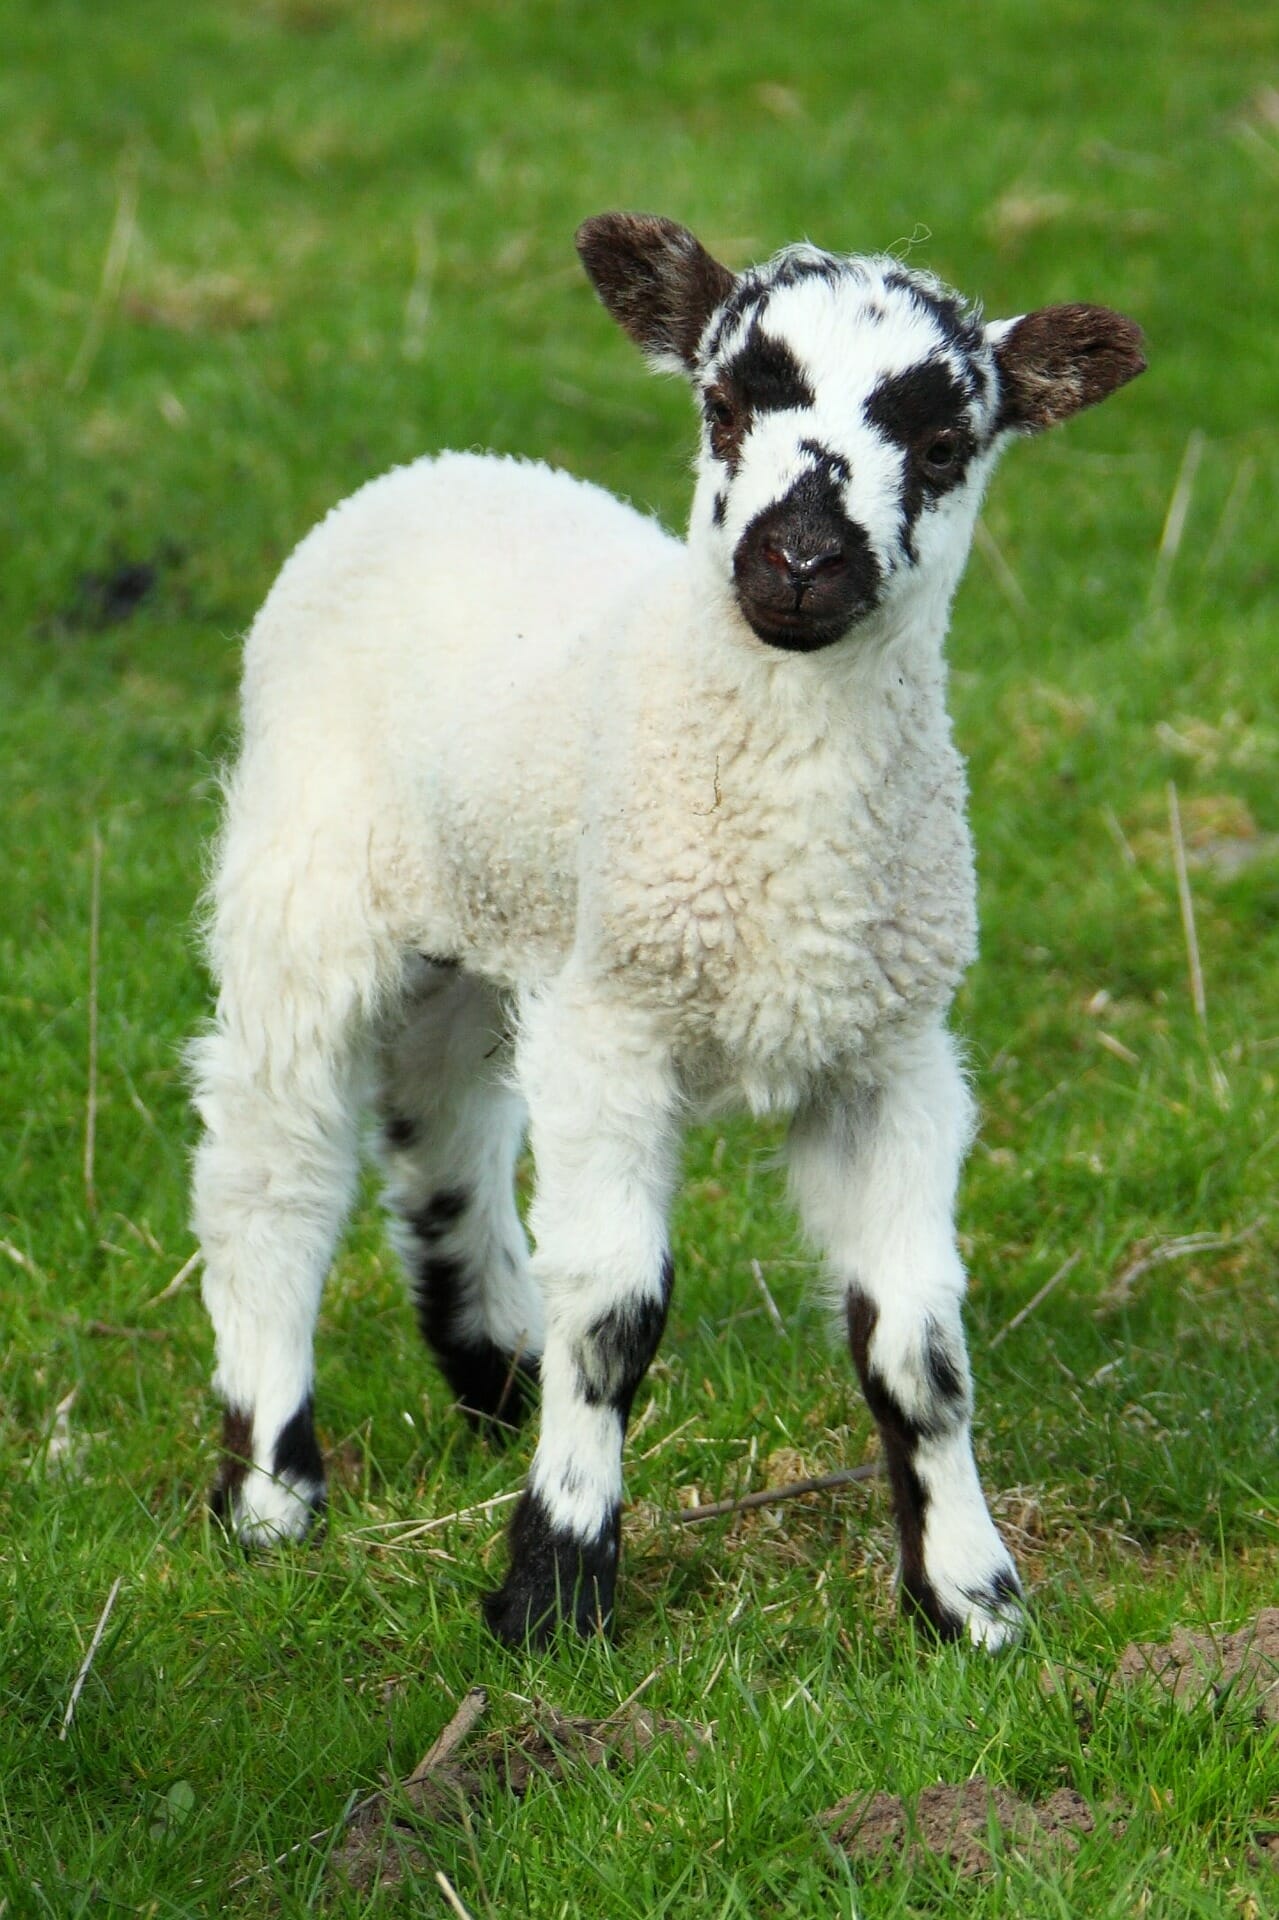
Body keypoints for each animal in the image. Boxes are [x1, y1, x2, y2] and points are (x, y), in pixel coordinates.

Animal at [191, 212, 1145, 1650]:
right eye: (722, 405)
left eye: (940, 446)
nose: (796, 561)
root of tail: (433, 469)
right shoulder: (617, 1033)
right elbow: (615, 1318)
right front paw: (555, 1585)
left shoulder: (889, 1056)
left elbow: (917, 1348)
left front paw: (969, 1599)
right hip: (303, 882)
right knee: (272, 1164)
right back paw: (269, 1487)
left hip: (494, 914)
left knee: (444, 1130)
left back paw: (493, 1377)